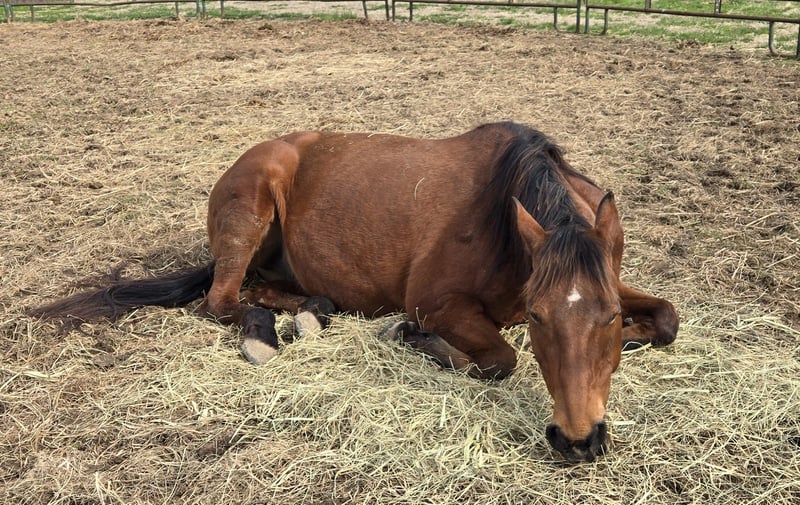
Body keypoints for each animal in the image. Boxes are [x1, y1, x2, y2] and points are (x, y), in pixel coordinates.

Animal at [31, 121, 679, 463]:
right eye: (540, 318)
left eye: (610, 317)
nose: (578, 439)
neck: (502, 216)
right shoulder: (436, 303)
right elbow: (499, 358)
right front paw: (421, 342)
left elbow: (669, 318)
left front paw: (643, 334)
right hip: (249, 214)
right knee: (223, 301)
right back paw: (267, 335)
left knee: (270, 290)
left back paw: (312, 313)